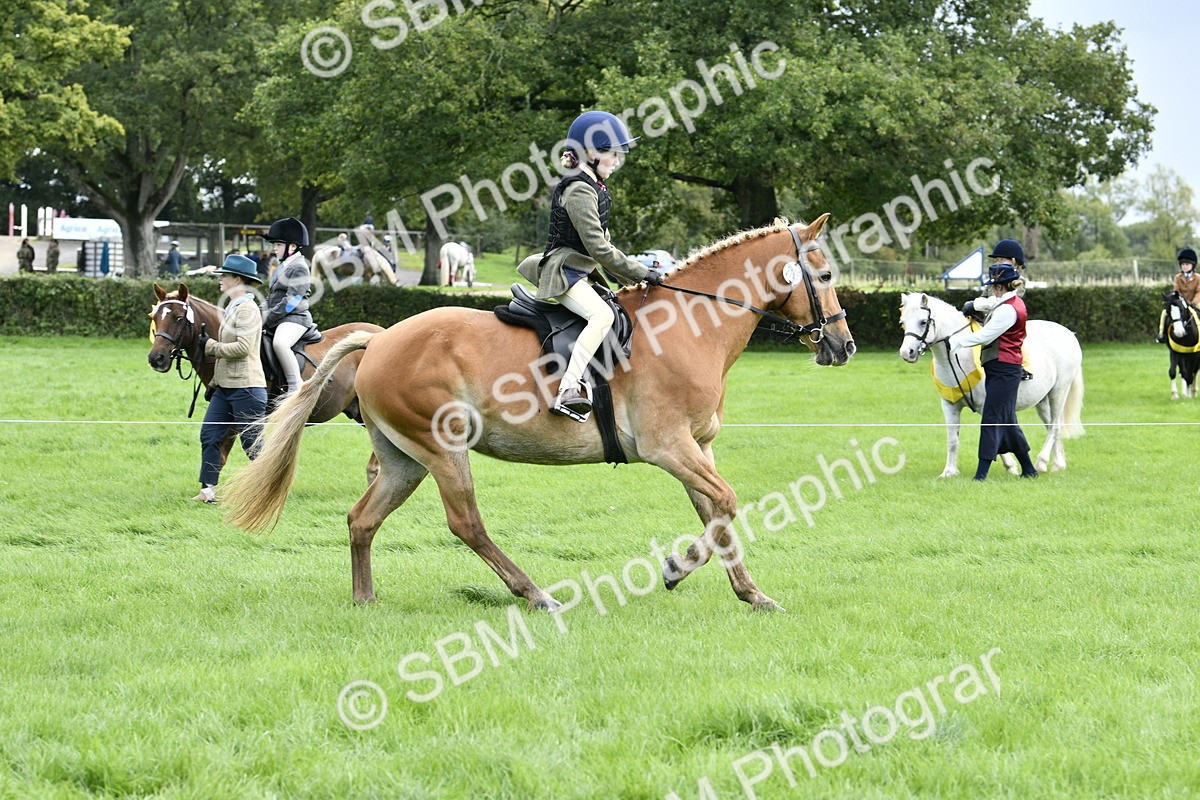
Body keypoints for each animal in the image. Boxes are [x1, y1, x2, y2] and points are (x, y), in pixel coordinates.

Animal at [223, 215, 855, 612]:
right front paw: (676, 569)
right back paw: (535, 594)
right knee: (466, 524)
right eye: (824, 276)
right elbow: (725, 504)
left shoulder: (698, 447)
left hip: (404, 459)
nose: (843, 346)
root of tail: (377, 341)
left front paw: (752, 594)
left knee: (362, 519)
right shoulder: (668, 446)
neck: (693, 325)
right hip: (441, 448)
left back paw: (365, 599)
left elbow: (718, 515)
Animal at [897, 292, 1084, 477]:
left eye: (923, 322)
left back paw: (1042, 462)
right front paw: (949, 471)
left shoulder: (988, 404)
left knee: (1054, 426)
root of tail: (1068, 333)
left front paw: (1010, 465)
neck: (959, 357)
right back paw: (1058, 464)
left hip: (1058, 393)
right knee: (1052, 426)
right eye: (903, 323)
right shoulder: (950, 405)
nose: (907, 353)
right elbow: (953, 439)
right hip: (1042, 401)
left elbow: (993, 432)